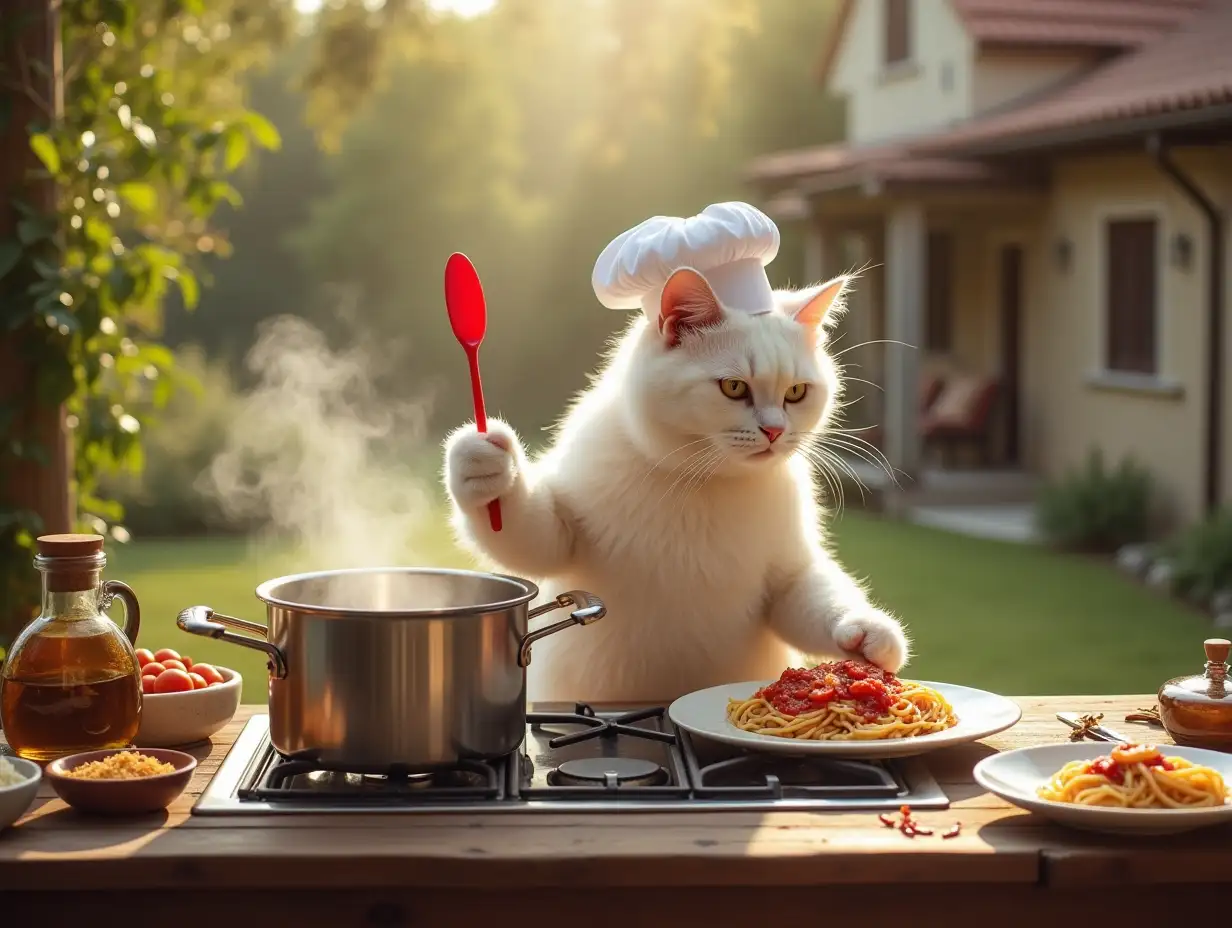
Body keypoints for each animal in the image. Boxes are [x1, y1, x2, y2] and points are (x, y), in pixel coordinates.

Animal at [441, 263, 906, 700]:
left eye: (796, 393)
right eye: (733, 387)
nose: (775, 431)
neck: (701, 480)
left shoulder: (787, 572)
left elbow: (809, 595)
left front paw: (868, 634)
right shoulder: (564, 534)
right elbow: (530, 538)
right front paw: (483, 463)